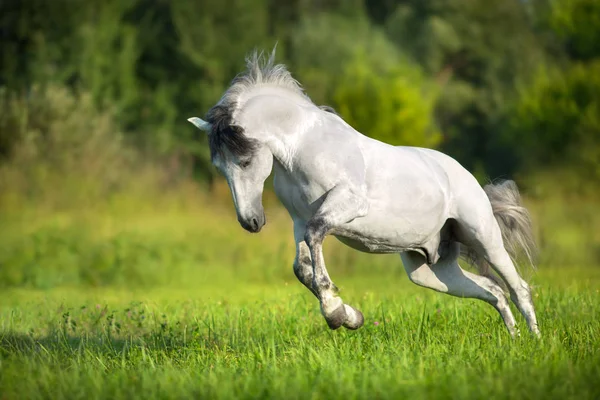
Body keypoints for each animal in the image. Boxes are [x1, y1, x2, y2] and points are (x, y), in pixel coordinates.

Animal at [190, 50, 540, 338]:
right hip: (431, 269)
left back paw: (533, 342)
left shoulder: (345, 205)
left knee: (518, 288)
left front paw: (335, 313)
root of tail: (466, 177)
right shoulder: (298, 222)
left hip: (485, 239)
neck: (302, 147)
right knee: (494, 291)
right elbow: (302, 268)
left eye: (245, 161)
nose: (250, 222)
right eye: (219, 167)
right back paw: (512, 337)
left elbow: (317, 238)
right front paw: (351, 316)